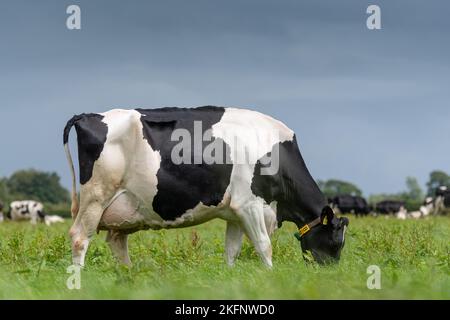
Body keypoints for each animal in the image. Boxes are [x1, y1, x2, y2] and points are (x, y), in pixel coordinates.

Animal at [64, 106, 348, 266]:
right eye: (336, 244)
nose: (329, 275)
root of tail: (90, 115)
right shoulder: (249, 204)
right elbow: (264, 246)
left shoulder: (235, 213)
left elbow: (231, 253)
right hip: (96, 196)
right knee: (79, 239)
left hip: (122, 210)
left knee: (117, 244)